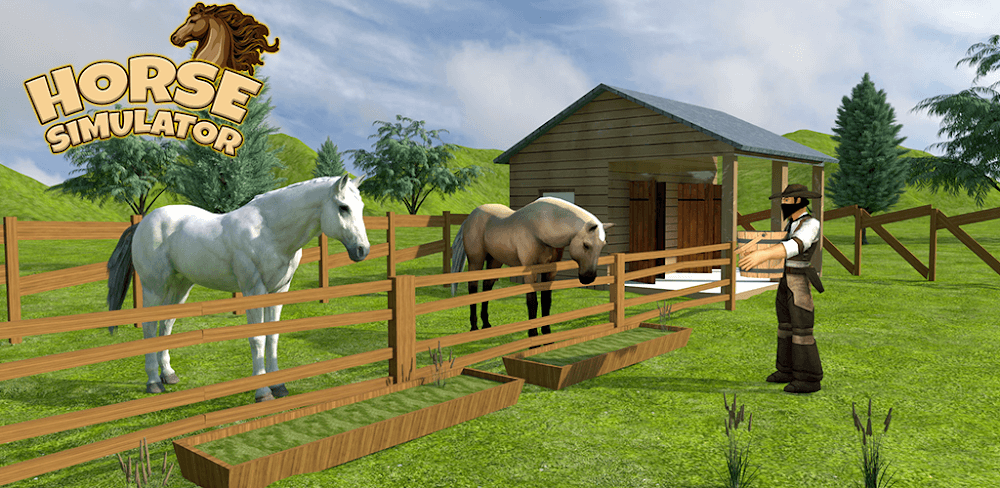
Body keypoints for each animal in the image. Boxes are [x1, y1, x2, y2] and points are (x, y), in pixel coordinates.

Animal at [107, 176, 370, 402]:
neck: (269, 232)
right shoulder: (254, 291)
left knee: (166, 325)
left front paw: (279, 386)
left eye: (361, 207)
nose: (362, 250)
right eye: (343, 207)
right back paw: (153, 382)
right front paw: (262, 392)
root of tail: (144, 222)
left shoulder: (279, 292)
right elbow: (258, 339)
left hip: (180, 286)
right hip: (154, 287)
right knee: (150, 327)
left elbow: (273, 337)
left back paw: (168, 375)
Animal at [450, 197, 613, 339]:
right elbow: (532, 301)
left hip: (494, 261)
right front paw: (533, 337)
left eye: (602, 246)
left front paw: (547, 333)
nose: (588, 278)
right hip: (476, 261)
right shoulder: (530, 271)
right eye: (586, 245)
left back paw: (486, 325)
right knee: (473, 288)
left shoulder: (550, 270)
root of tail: (470, 216)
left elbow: (546, 300)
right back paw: (474, 327)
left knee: (487, 288)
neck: (540, 227)